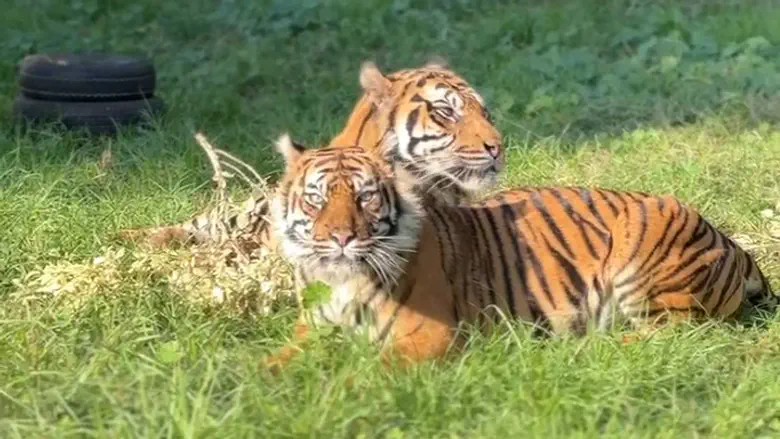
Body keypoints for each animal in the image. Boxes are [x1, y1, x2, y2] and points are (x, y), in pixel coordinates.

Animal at [262, 138, 772, 372]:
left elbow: (367, 371)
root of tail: (728, 240)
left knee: (677, 334)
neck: (340, 280)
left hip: (644, 257)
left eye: (365, 197)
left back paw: (583, 347)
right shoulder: (311, 327)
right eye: (316, 199)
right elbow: (273, 361)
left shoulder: (428, 337)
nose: (340, 237)